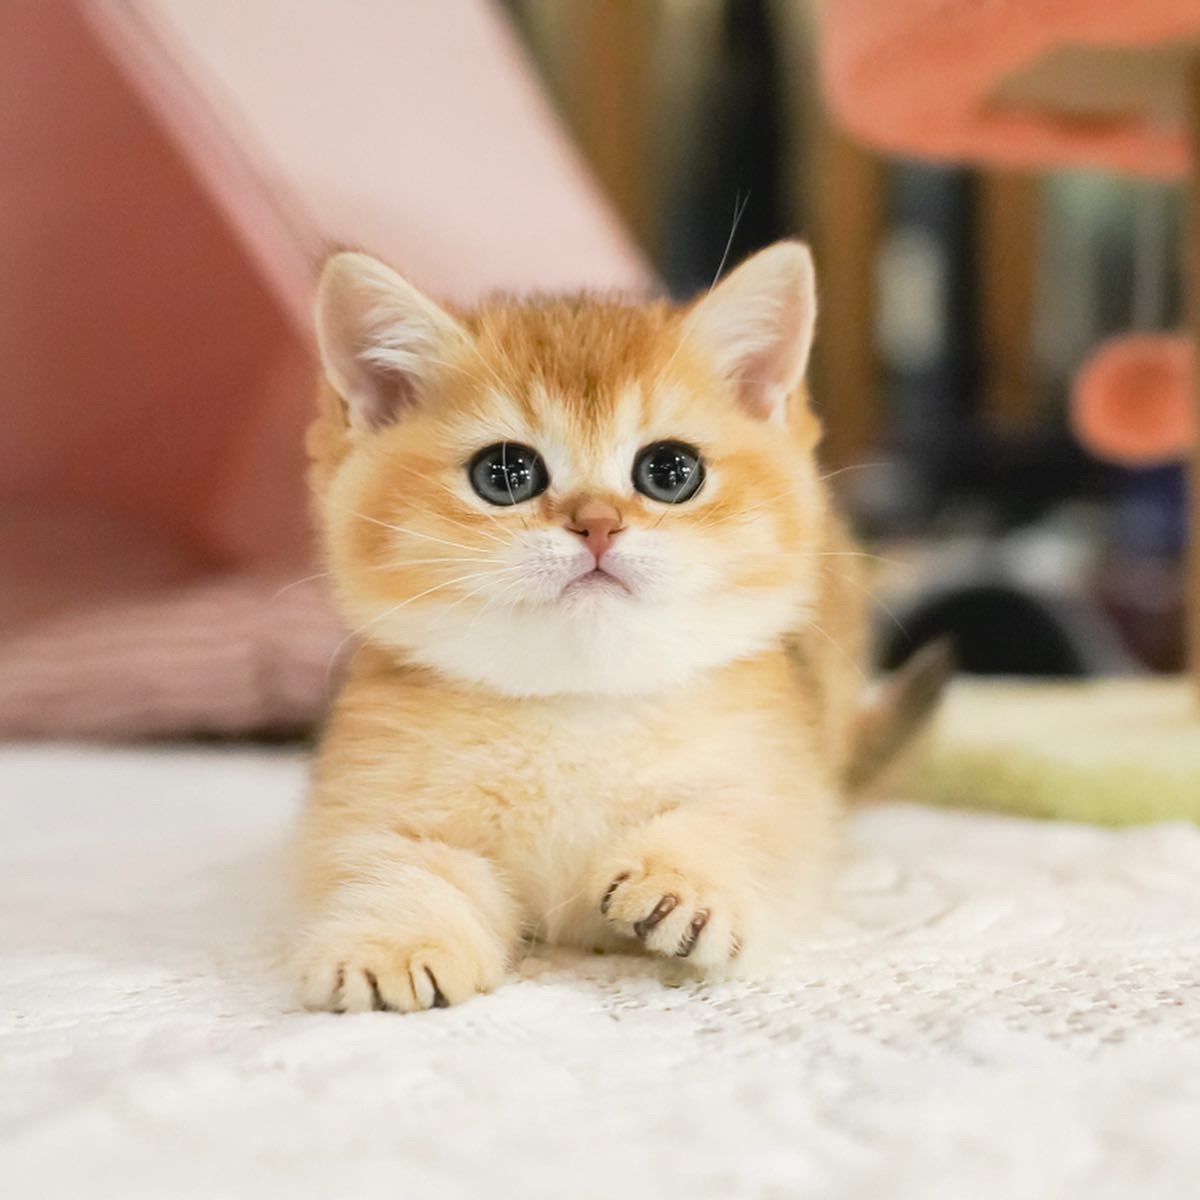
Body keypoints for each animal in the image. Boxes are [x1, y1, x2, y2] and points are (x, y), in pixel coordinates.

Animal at [293, 241, 945, 1012]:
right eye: (504, 474)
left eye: (670, 470)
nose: (598, 524)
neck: (578, 709)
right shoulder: (372, 793)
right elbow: (393, 858)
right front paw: (395, 939)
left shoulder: (781, 772)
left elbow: (750, 821)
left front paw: (688, 879)